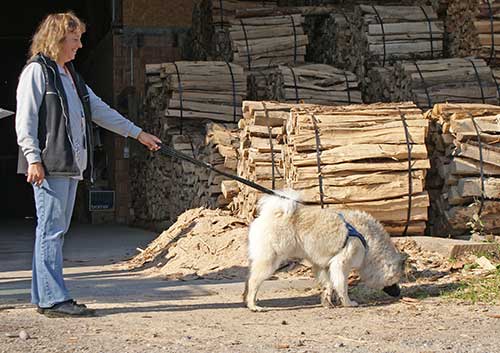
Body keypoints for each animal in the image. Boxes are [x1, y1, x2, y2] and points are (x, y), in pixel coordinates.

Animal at [242, 190, 406, 310]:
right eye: (395, 280)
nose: (399, 293)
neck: (369, 242)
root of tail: (269, 215)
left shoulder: (325, 266)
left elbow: (328, 285)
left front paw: (327, 302)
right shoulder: (341, 264)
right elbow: (342, 286)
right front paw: (348, 303)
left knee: (249, 279)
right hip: (270, 261)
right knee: (253, 281)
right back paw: (253, 305)